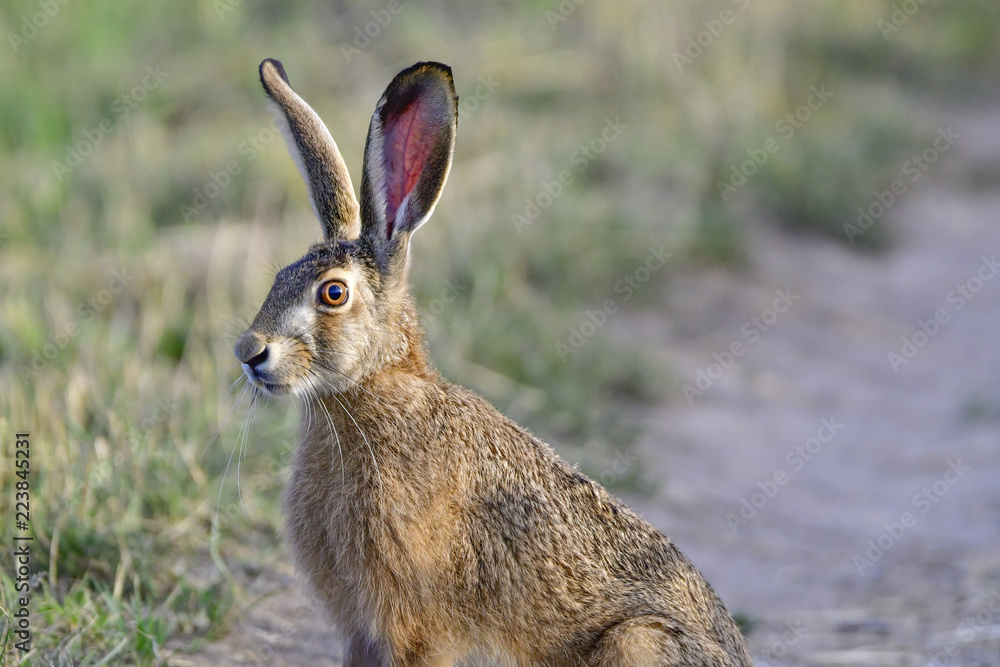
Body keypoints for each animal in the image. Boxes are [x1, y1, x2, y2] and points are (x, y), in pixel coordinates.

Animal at [234, 57, 753, 667]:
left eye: (333, 294)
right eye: (277, 277)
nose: (249, 352)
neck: (370, 389)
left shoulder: (413, 630)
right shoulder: (362, 633)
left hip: (638, 643)